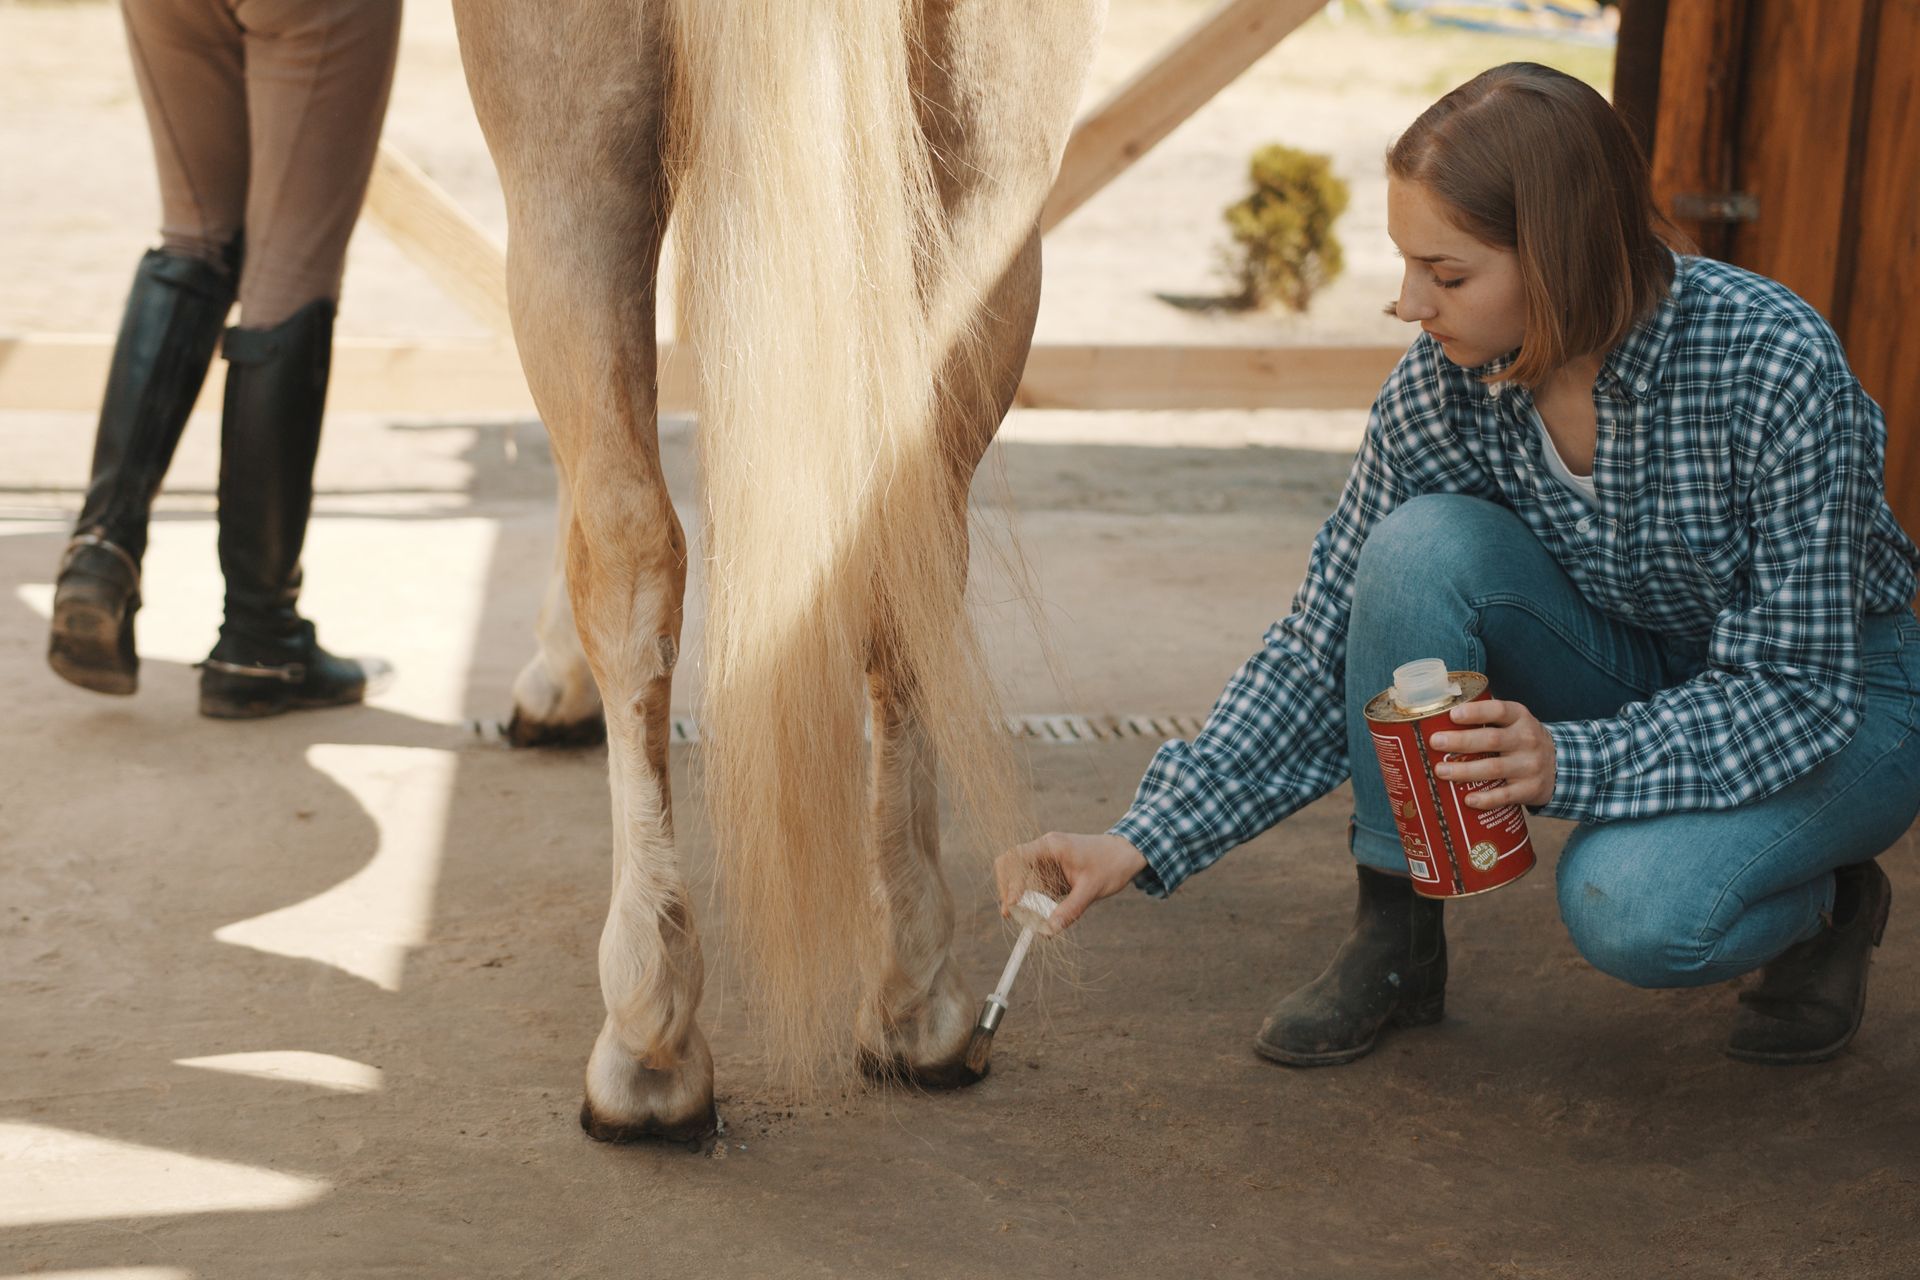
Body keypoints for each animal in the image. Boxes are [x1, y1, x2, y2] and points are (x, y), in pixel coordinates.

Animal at [450, 0, 1105, 1141]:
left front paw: (554, 677)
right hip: (992, 150)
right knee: (902, 535)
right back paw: (916, 999)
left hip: (561, 144)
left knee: (626, 541)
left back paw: (649, 1034)